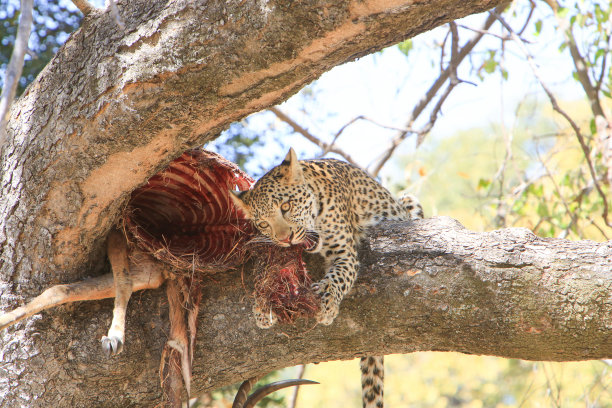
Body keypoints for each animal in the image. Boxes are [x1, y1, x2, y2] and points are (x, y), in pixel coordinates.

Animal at [227, 147, 424, 408]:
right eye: (262, 223)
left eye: (286, 206)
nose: (285, 238)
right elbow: (268, 278)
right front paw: (261, 308)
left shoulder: (345, 252)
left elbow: (338, 277)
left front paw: (327, 305)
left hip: (410, 201)